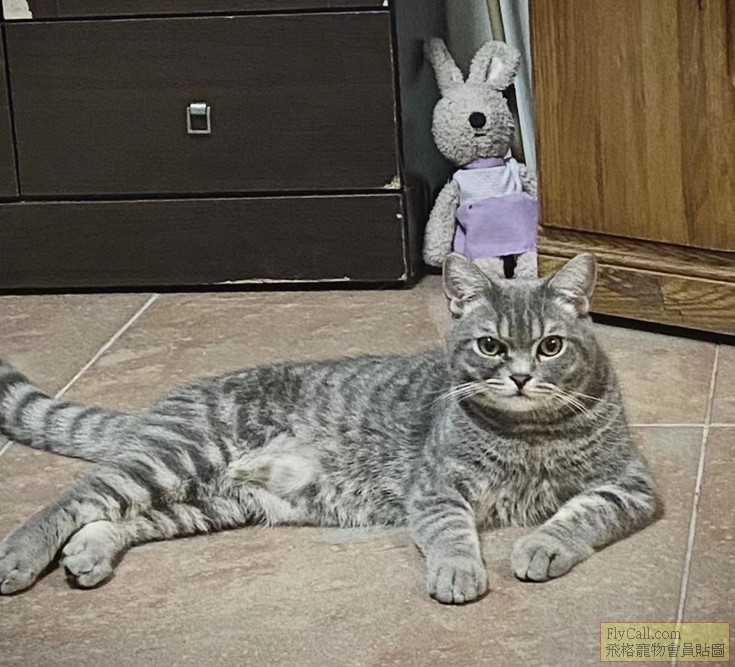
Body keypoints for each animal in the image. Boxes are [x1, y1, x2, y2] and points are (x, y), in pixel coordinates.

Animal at [0, 253, 659, 604]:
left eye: (551, 346)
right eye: (490, 346)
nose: (521, 378)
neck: (528, 434)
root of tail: (164, 403)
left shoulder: (631, 485)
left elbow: (582, 513)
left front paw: (544, 543)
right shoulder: (437, 488)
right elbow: (451, 532)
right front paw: (458, 569)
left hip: (214, 502)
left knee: (117, 519)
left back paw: (88, 553)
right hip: (179, 457)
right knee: (73, 498)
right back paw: (21, 554)